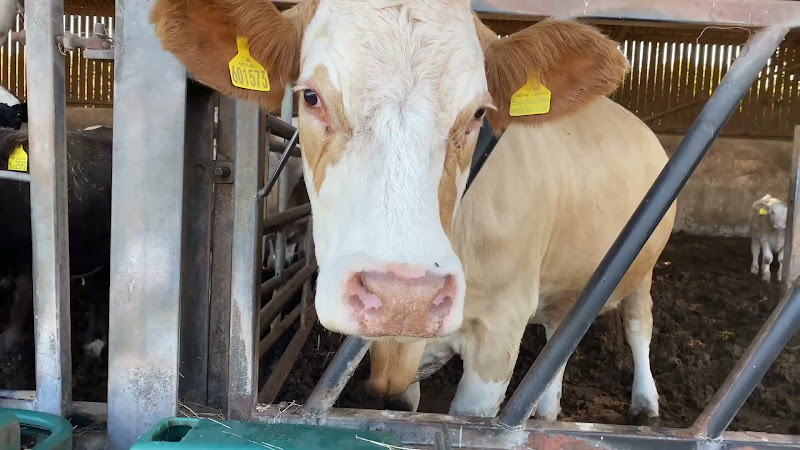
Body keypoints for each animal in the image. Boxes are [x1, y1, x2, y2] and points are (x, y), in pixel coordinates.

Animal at [150, 0, 675, 421]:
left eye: (479, 113)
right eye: (311, 96)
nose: (406, 297)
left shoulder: (500, 328)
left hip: (642, 266)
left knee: (638, 325)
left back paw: (646, 403)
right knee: (558, 334)